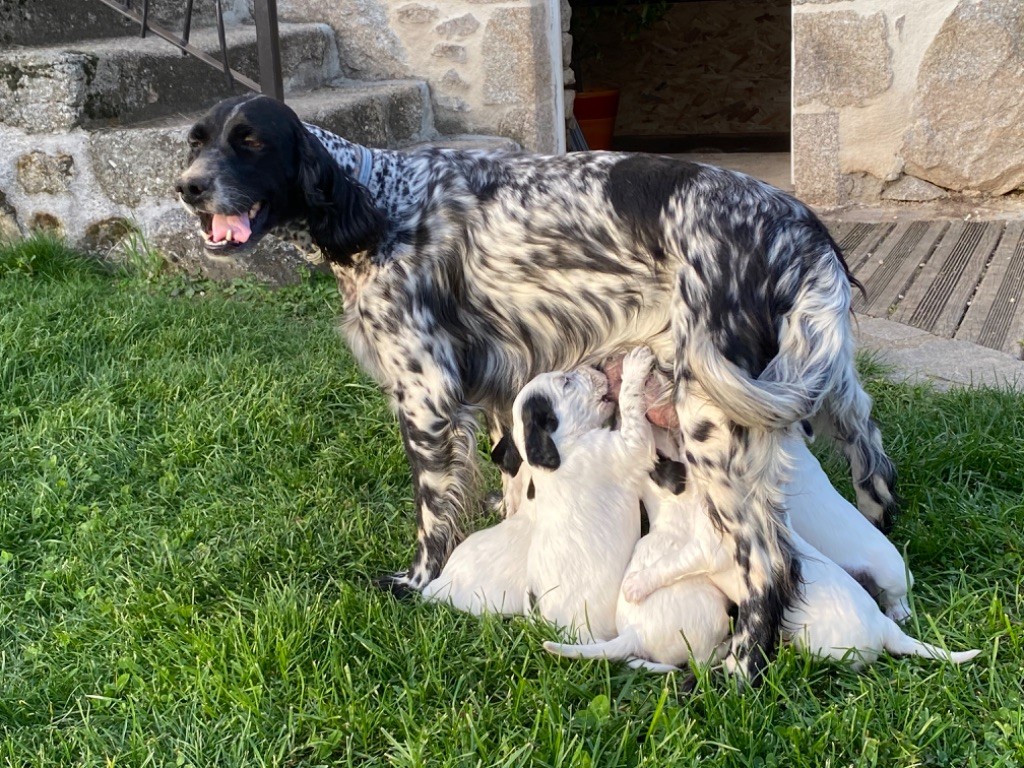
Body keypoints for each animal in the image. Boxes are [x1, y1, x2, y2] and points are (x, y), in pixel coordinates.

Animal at [509, 348, 655, 643]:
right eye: (566, 381)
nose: (596, 365)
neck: (565, 446)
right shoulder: (627, 447)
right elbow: (631, 407)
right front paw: (635, 365)